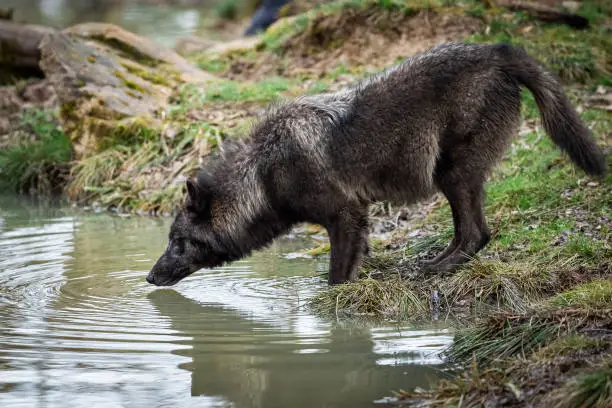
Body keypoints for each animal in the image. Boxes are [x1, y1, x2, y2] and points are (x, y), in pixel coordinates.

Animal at [145, 40, 608, 284]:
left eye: (178, 241)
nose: (149, 277)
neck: (262, 172)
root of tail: (496, 49)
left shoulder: (345, 215)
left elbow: (336, 274)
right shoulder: (358, 218)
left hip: (452, 175)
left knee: (476, 234)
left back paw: (433, 271)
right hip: (454, 178)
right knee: (473, 234)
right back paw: (431, 265)